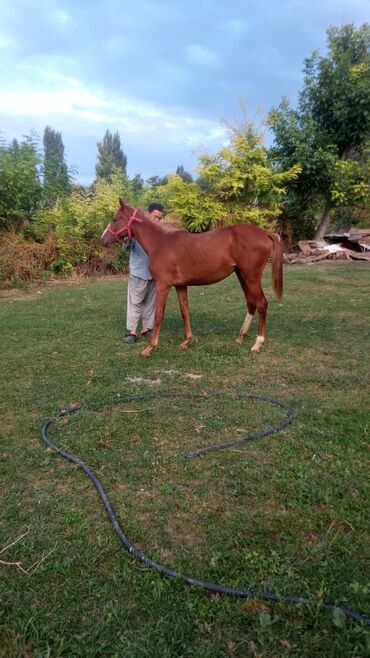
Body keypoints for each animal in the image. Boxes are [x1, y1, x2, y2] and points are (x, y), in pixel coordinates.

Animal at [101, 197, 284, 356]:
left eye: (115, 218)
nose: (103, 240)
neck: (161, 243)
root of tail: (264, 233)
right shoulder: (180, 285)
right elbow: (185, 311)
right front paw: (186, 341)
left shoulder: (163, 285)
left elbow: (158, 315)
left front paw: (150, 347)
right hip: (242, 275)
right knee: (251, 303)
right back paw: (241, 337)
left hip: (251, 277)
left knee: (262, 304)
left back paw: (257, 344)